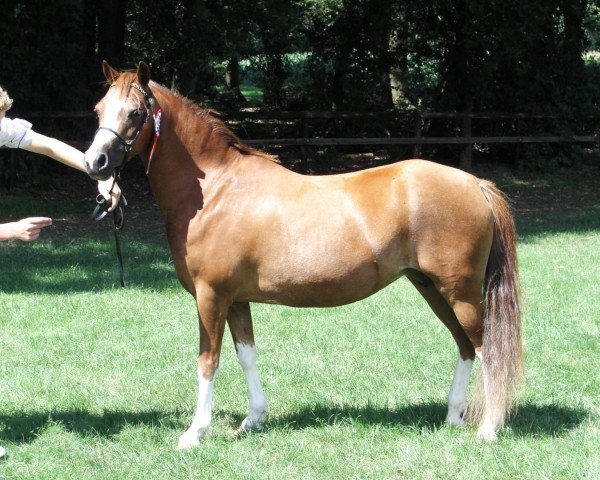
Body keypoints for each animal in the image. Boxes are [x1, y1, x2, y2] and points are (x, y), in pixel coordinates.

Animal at [83, 62, 520, 446]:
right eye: (99, 109)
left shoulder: (211, 297)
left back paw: (488, 429)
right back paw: (453, 416)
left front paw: (194, 433)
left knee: (488, 350)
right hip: (431, 286)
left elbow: (208, 361)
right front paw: (253, 419)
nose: (94, 162)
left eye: (136, 112)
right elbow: (246, 355)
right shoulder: (236, 300)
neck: (218, 191)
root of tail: (475, 183)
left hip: (460, 292)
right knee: (465, 346)